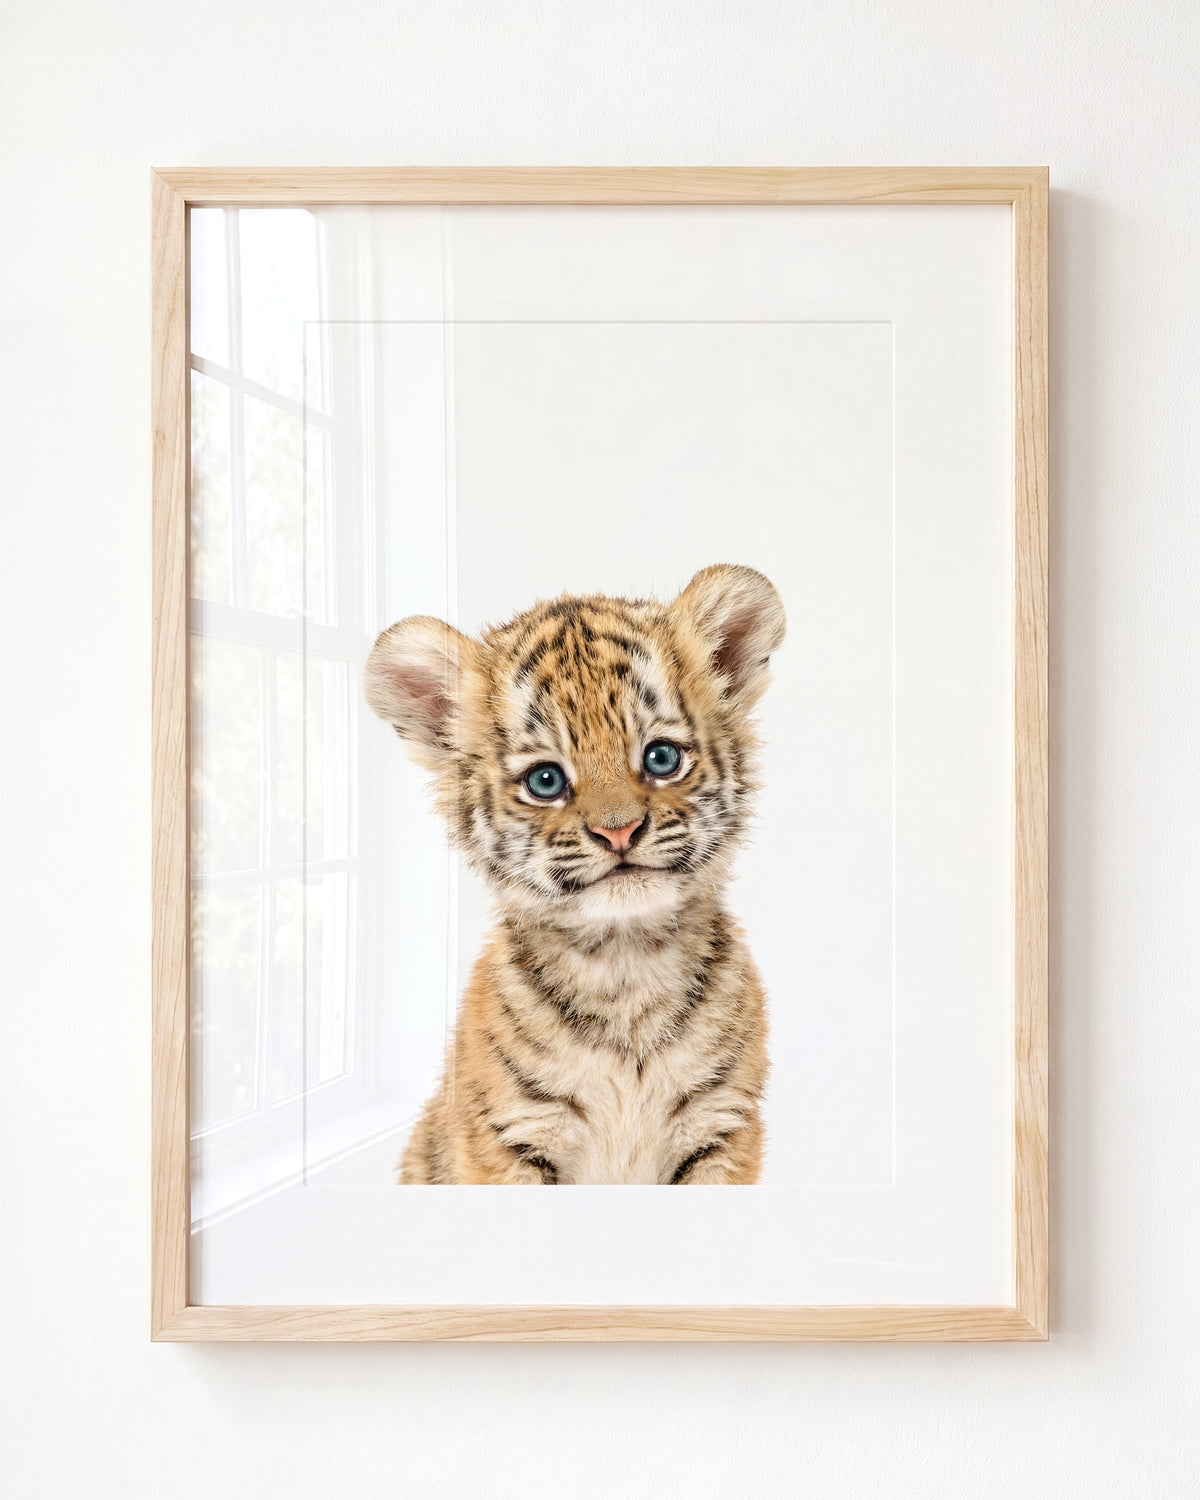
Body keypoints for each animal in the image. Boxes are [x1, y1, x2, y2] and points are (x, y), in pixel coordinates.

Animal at [363, 563, 785, 1185]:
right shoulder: (509, 1137)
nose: (619, 831)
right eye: (545, 780)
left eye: (661, 758)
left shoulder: (721, 1126)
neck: (626, 967)